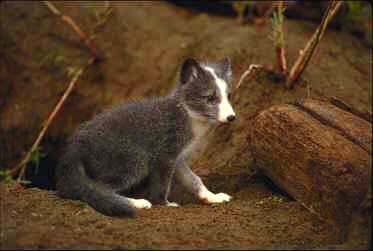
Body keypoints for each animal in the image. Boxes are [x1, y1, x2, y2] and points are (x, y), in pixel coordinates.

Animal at [55, 56, 235, 217]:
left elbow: (194, 179)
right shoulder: (164, 157)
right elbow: (162, 186)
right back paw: (136, 203)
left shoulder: (177, 159)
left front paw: (212, 197)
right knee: (100, 187)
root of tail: (75, 146)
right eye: (210, 98)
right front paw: (164, 204)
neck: (187, 115)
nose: (232, 117)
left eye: (228, 96)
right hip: (136, 161)